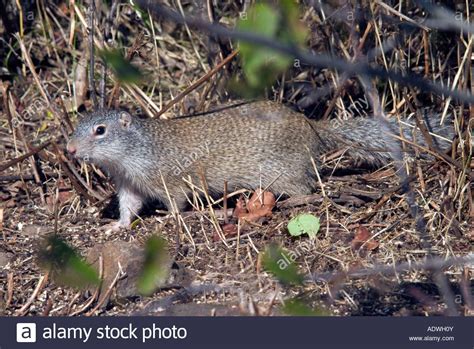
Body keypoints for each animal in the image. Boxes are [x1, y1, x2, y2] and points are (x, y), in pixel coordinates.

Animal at [67, 100, 456, 228]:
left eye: (100, 131)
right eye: (77, 125)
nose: (69, 148)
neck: (133, 153)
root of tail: (313, 126)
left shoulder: (169, 179)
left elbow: (176, 202)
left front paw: (171, 219)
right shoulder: (129, 185)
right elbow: (129, 208)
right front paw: (116, 227)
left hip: (282, 174)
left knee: (307, 187)